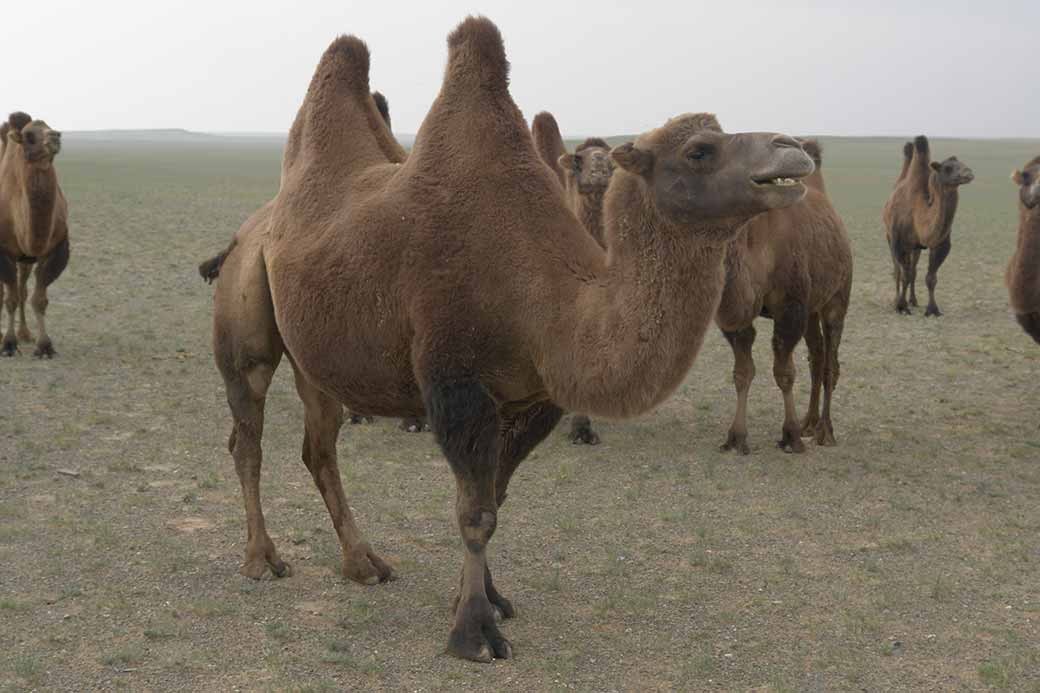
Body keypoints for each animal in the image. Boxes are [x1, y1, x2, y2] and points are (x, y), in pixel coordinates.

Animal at [0, 112, 68, 358]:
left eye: (51, 127)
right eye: (29, 136)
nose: (55, 137)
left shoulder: (56, 249)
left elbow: (38, 299)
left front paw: (44, 346)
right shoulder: (4, 251)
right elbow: (9, 299)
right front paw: (8, 344)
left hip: (26, 260)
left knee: (22, 287)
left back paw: (25, 333)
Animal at [715, 141, 853, 454]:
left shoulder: (791, 307)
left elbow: (785, 372)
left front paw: (790, 435)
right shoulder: (737, 316)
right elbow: (742, 371)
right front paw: (736, 437)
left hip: (836, 299)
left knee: (830, 362)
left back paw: (824, 431)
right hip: (812, 308)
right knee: (816, 356)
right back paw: (808, 423)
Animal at [883, 136, 974, 316]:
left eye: (961, 162)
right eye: (948, 168)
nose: (969, 173)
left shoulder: (939, 244)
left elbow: (930, 278)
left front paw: (932, 309)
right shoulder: (898, 242)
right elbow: (903, 274)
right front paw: (901, 306)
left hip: (915, 248)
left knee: (913, 270)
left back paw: (913, 300)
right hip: (889, 237)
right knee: (898, 270)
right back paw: (896, 300)